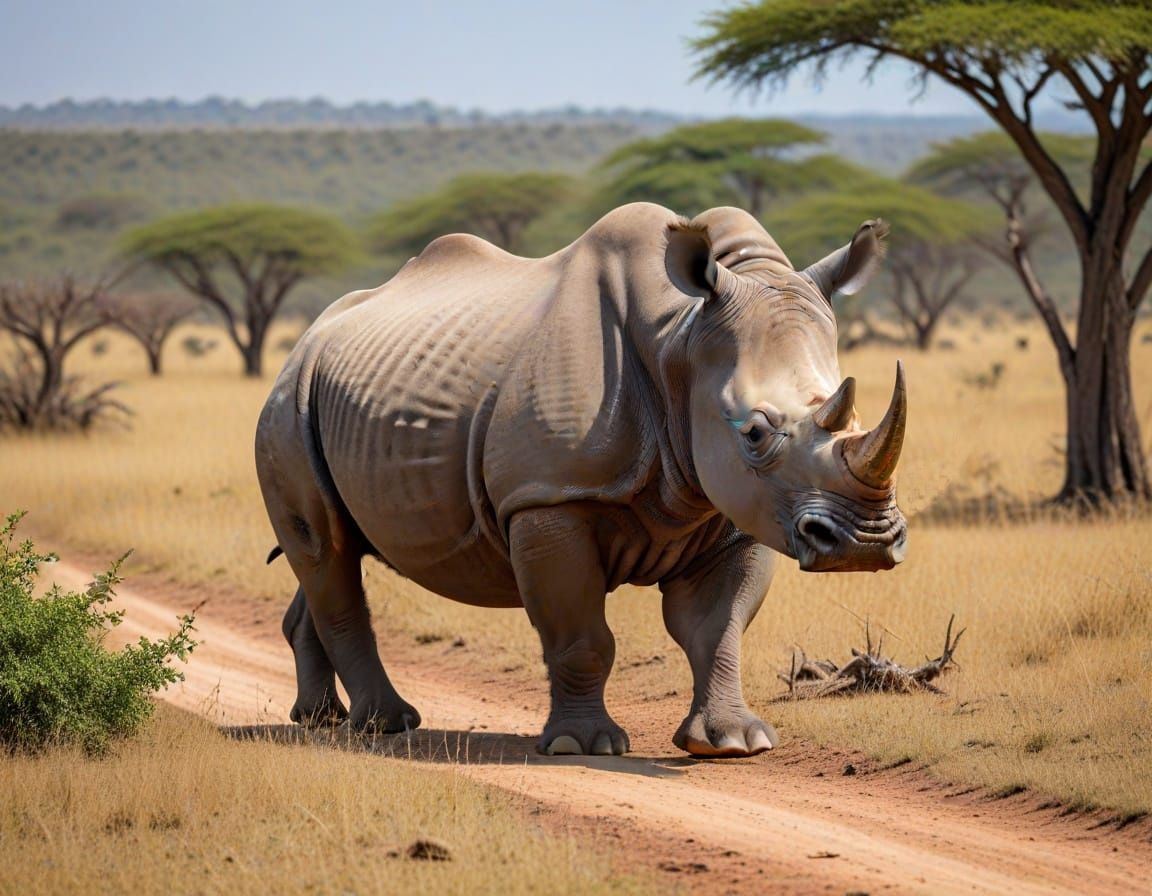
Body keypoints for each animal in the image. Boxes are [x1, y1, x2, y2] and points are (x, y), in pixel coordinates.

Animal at [255, 202, 908, 758]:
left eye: (852, 415)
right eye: (753, 433)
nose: (865, 544)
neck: (680, 338)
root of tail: (308, 337)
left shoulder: (738, 510)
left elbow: (717, 630)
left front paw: (733, 744)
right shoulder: (548, 499)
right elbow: (580, 635)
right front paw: (582, 746)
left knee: (332, 551)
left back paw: (319, 718)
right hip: (287, 405)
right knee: (326, 550)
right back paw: (385, 725)